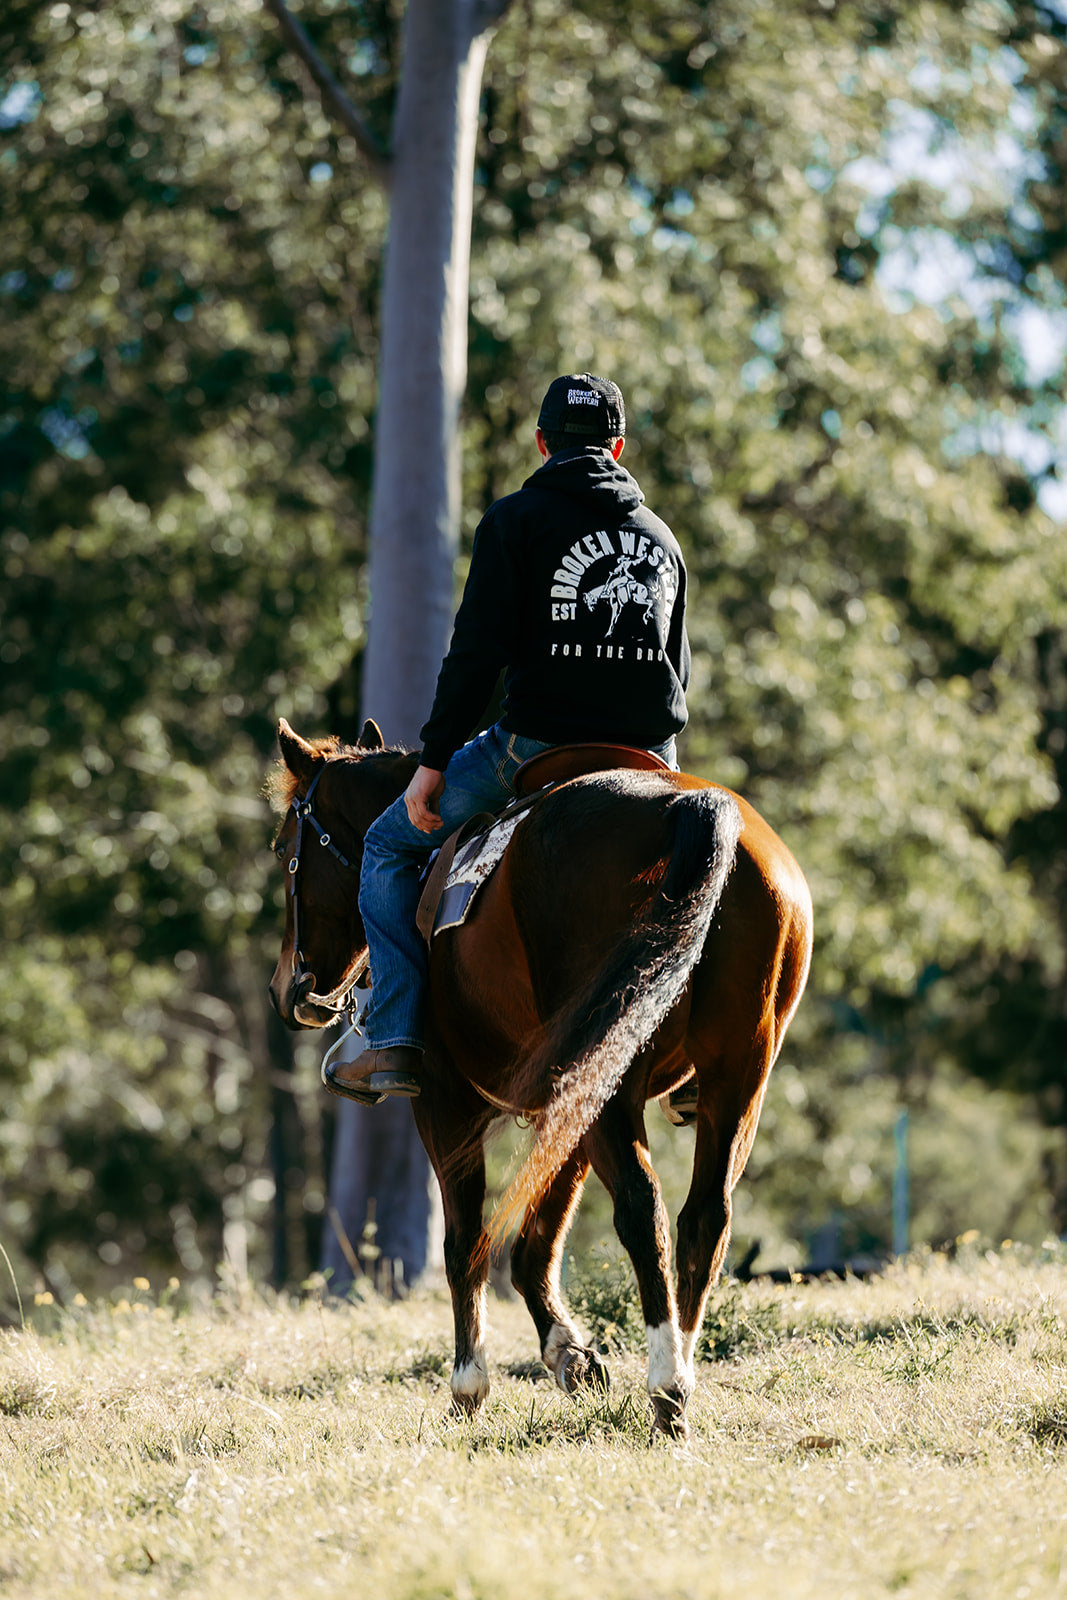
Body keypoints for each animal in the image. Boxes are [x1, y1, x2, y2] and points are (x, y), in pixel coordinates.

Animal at [267, 723, 809, 1440]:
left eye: (283, 849)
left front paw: (468, 1385)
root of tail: (693, 807)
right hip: (730, 1074)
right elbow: (533, 1245)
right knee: (703, 1218)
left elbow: (465, 1241)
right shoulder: (567, 1102)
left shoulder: (446, 1104)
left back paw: (666, 1386)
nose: (287, 988)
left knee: (642, 1209)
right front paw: (570, 1355)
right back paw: (681, 1371)